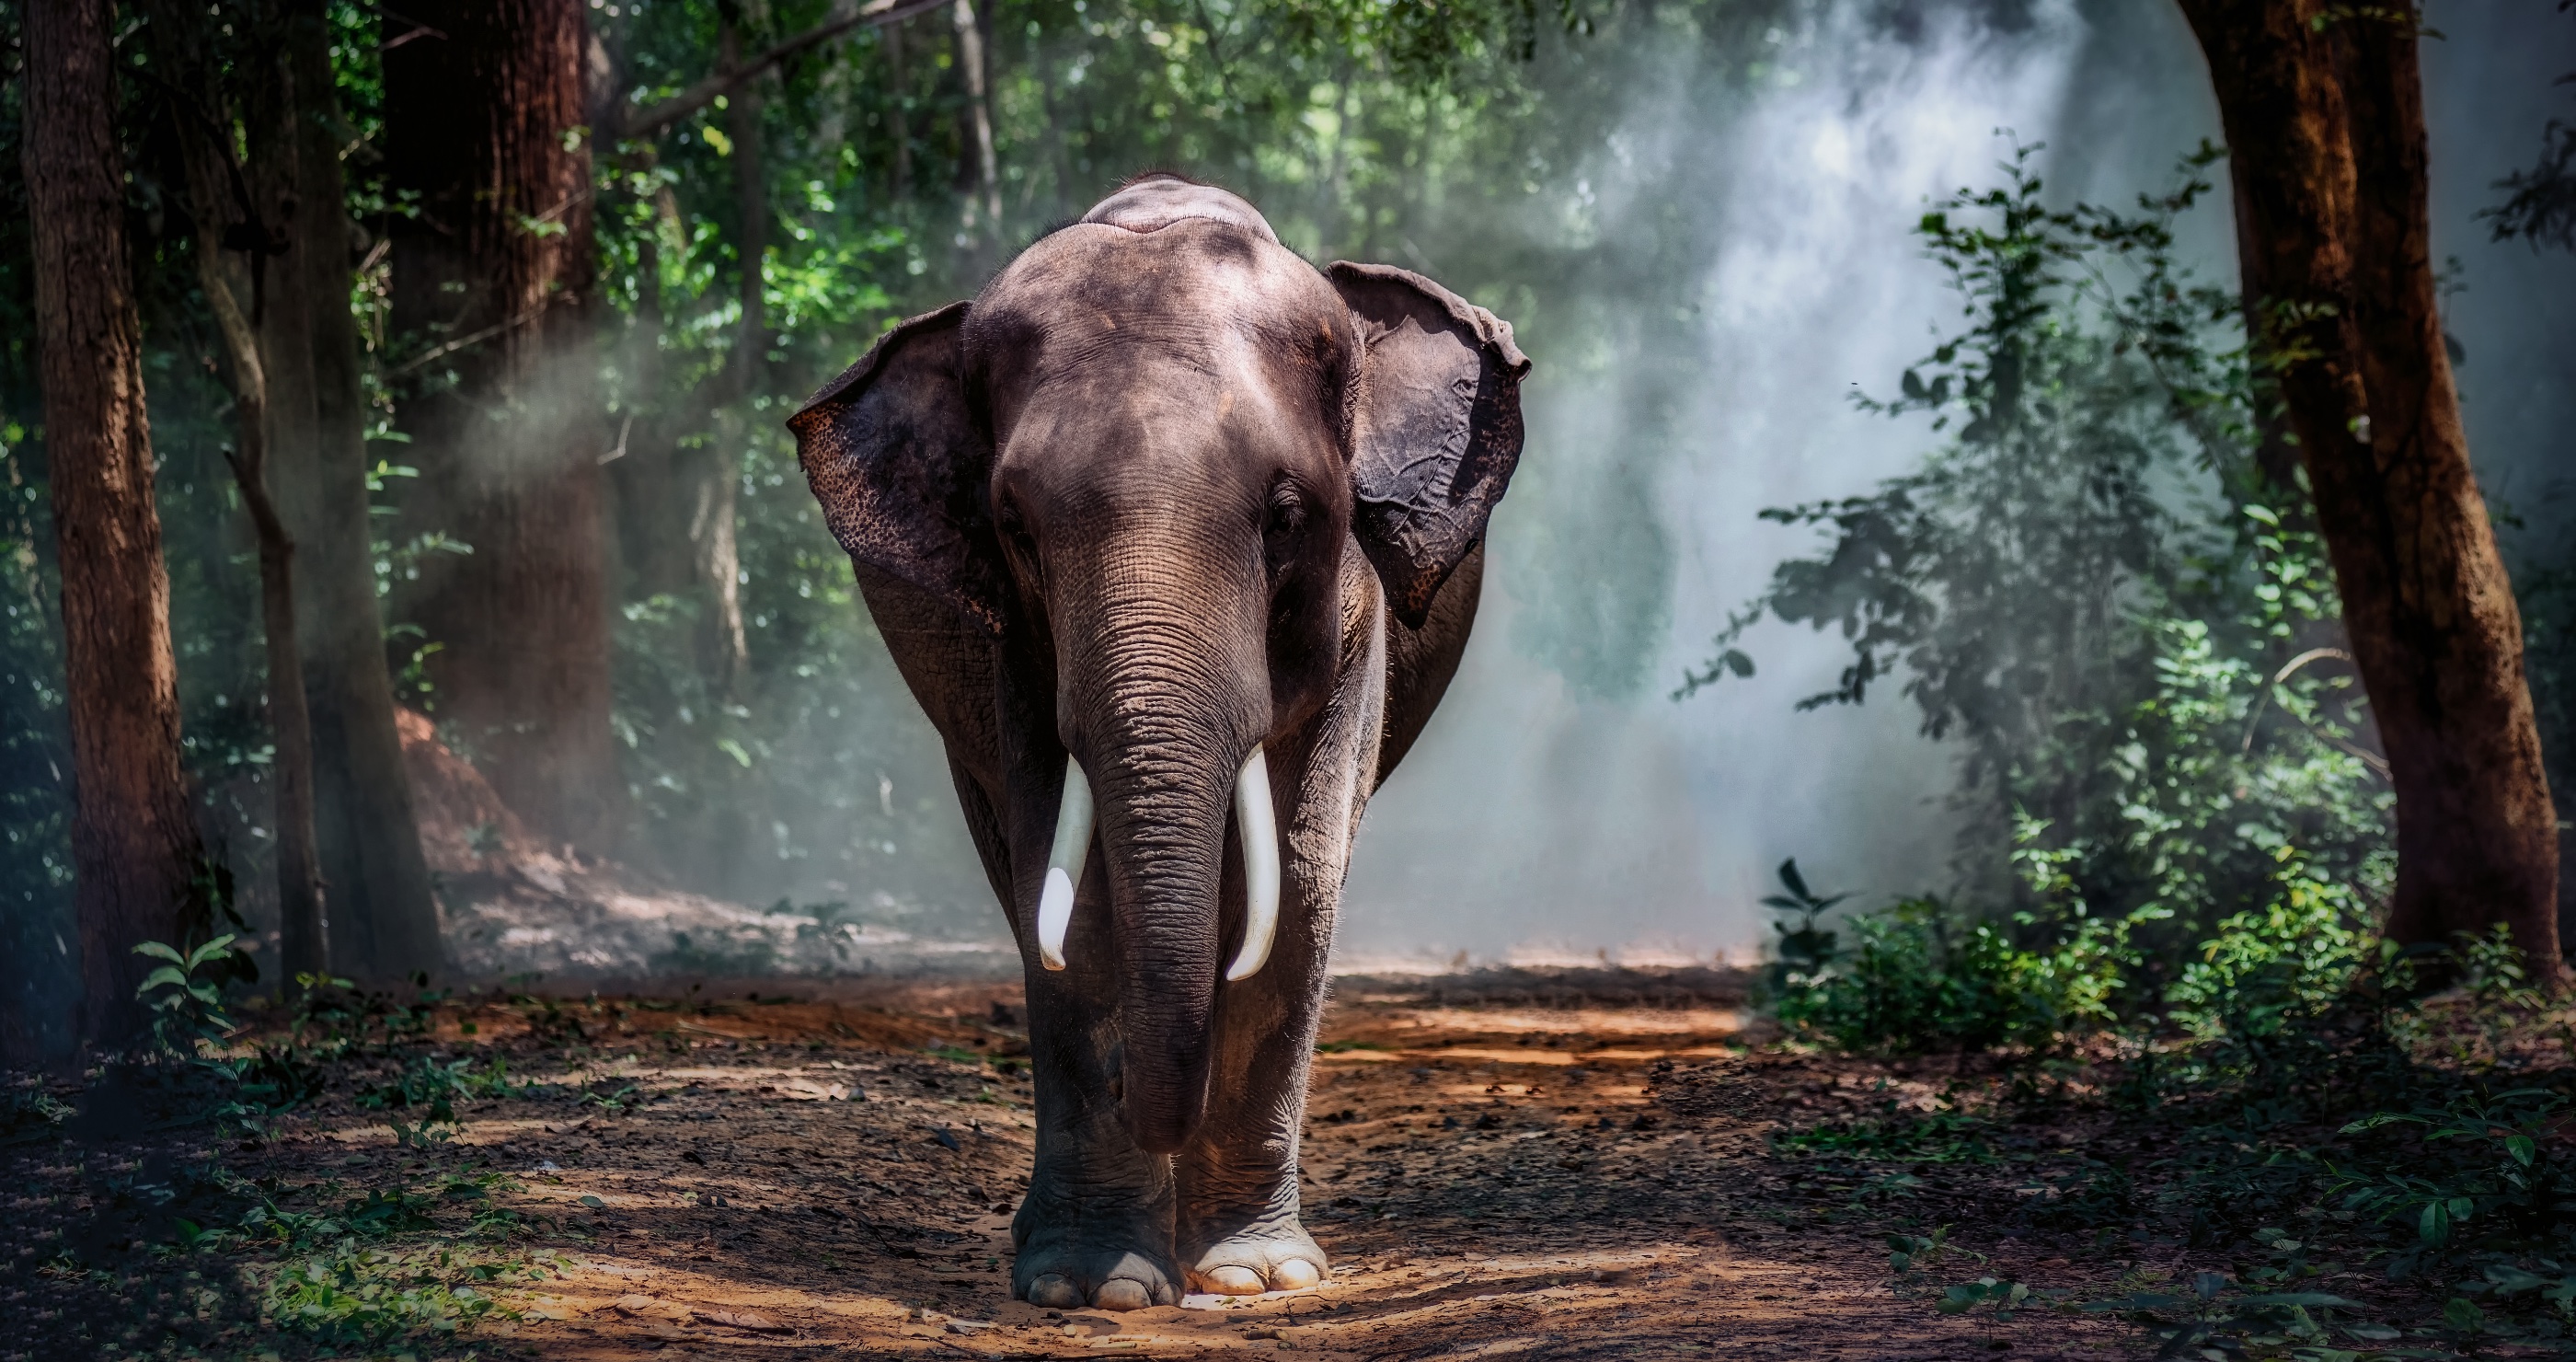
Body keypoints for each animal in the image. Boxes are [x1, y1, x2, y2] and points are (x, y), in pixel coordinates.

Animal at [786, 173, 1527, 1311]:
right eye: (1014, 526)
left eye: (1285, 515)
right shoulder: (1012, 650)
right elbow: (1072, 896)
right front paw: (1095, 1286)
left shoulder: (1353, 618)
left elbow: (1298, 880)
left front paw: (1258, 1275)